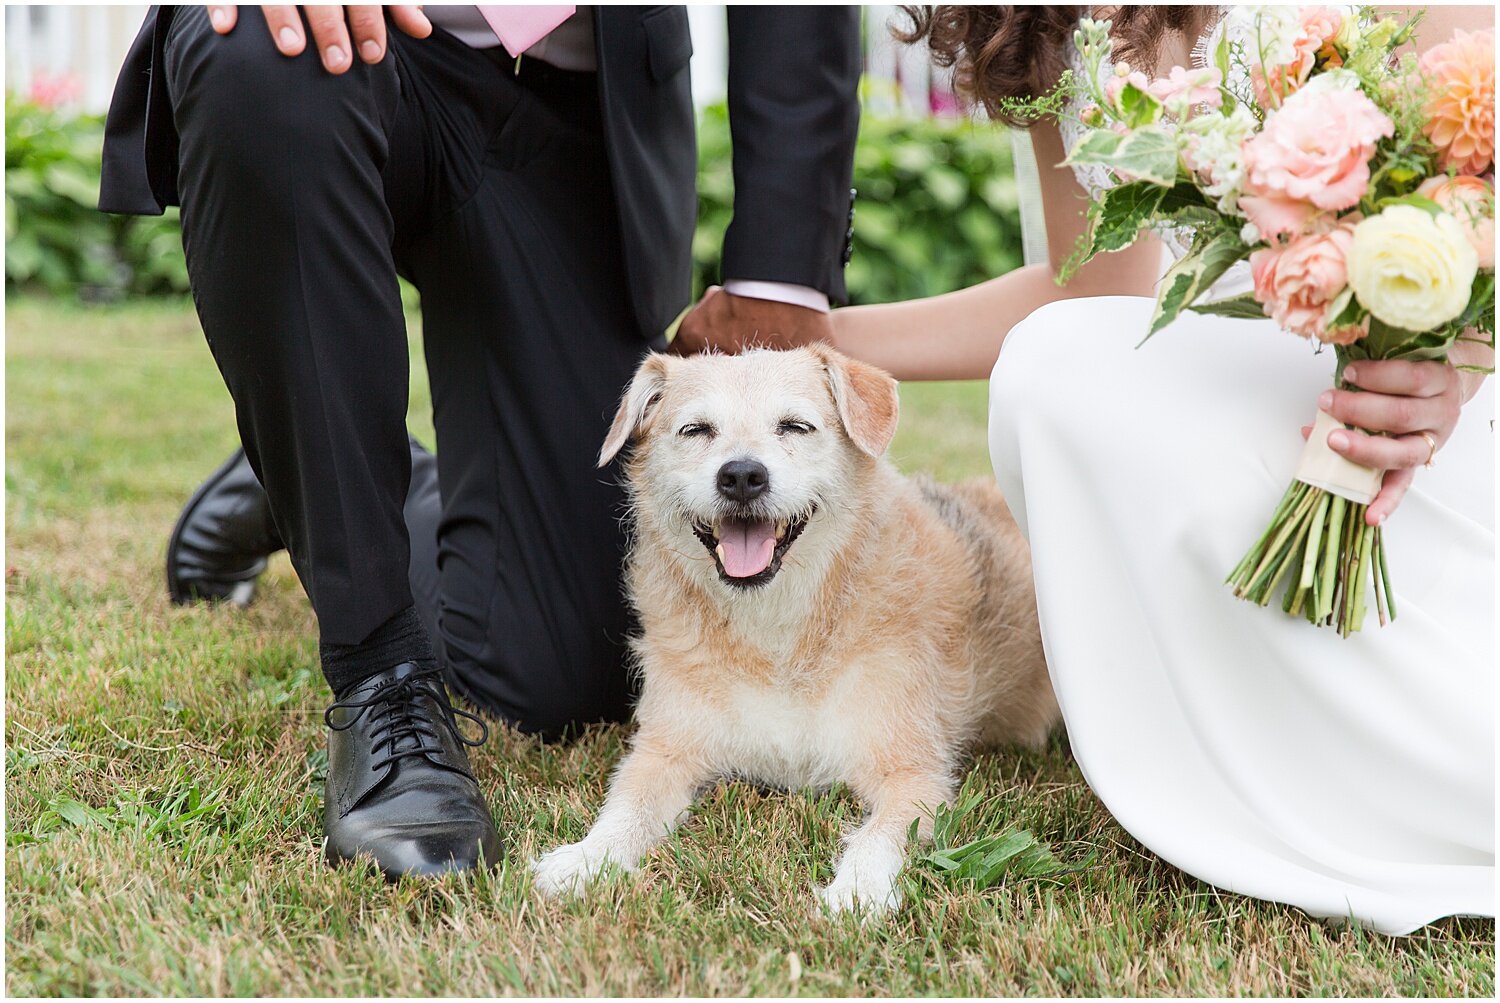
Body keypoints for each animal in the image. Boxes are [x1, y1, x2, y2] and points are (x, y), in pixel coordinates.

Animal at [534, 346, 1062, 917]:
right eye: (696, 430)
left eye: (795, 426)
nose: (742, 476)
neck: (776, 626)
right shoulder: (664, 752)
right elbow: (626, 807)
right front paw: (586, 859)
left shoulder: (912, 773)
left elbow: (880, 835)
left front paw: (858, 889)